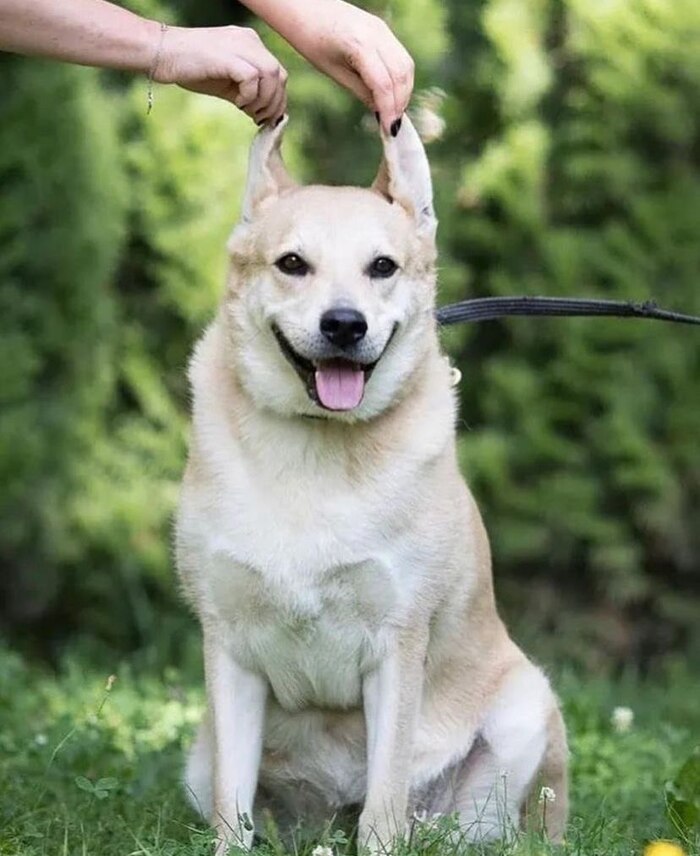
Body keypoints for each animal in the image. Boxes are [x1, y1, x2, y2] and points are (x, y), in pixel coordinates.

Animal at [175, 116, 568, 854]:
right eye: (292, 264)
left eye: (382, 266)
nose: (343, 324)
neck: (317, 450)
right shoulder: (228, 649)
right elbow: (231, 808)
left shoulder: (396, 643)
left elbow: (383, 802)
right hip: (199, 755)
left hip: (522, 713)